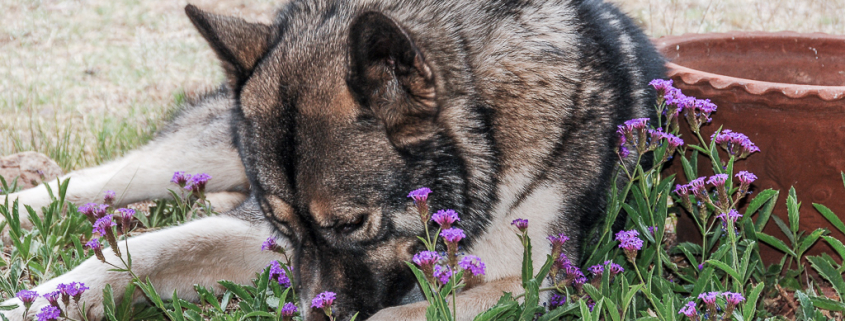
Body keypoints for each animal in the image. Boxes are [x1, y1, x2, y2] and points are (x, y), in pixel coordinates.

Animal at [0, 1, 664, 318]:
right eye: (285, 224)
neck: (487, 117)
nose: (316, 316)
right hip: (198, 149)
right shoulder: (261, 230)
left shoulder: (535, 278)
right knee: (97, 178)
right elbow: (151, 248)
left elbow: (393, 317)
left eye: (352, 223)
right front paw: (32, 303)